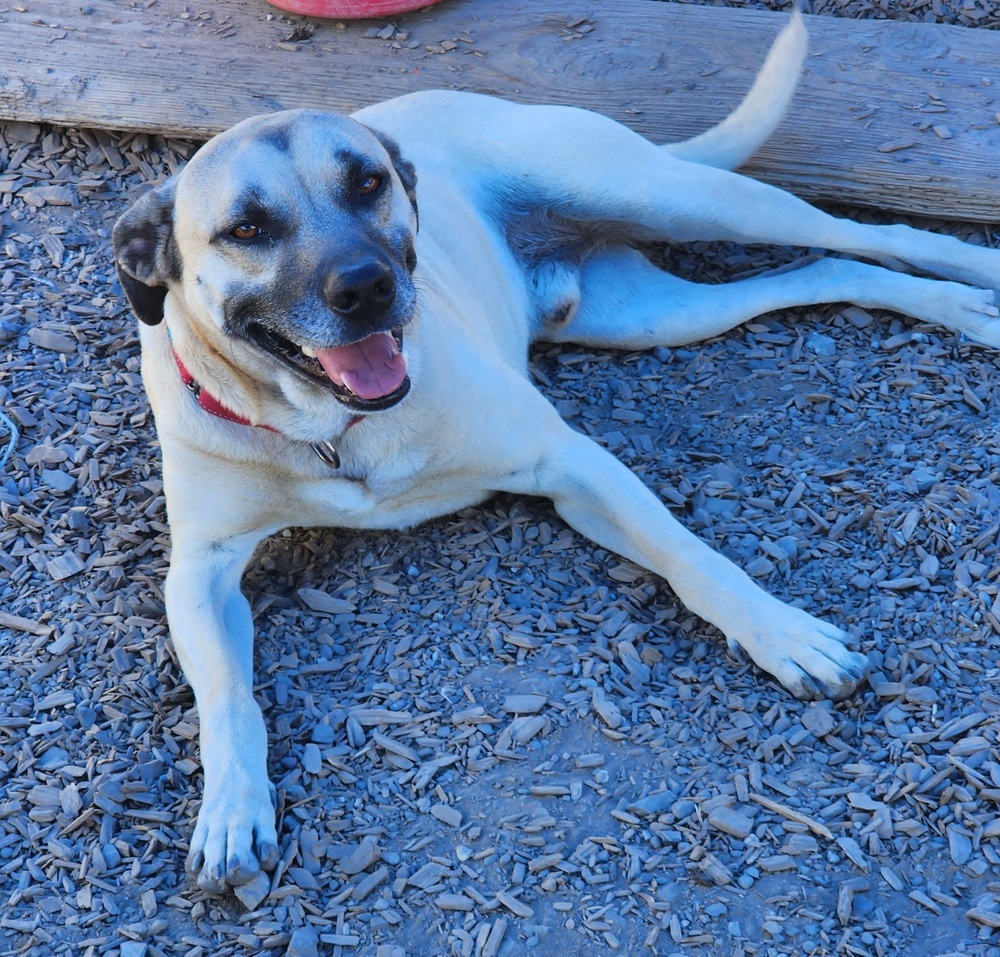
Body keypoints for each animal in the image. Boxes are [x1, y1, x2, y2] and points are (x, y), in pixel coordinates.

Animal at [113, 13, 996, 896]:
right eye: (247, 228)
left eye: (366, 183)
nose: (365, 287)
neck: (334, 430)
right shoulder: (200, 570)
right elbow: (227, 693)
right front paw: (231, 809)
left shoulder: (567, 461)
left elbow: (692, 556)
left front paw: (782, 634)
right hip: (649, 312)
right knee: (823, 271)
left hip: (678, 199)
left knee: (859, 232)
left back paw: (973, 280)